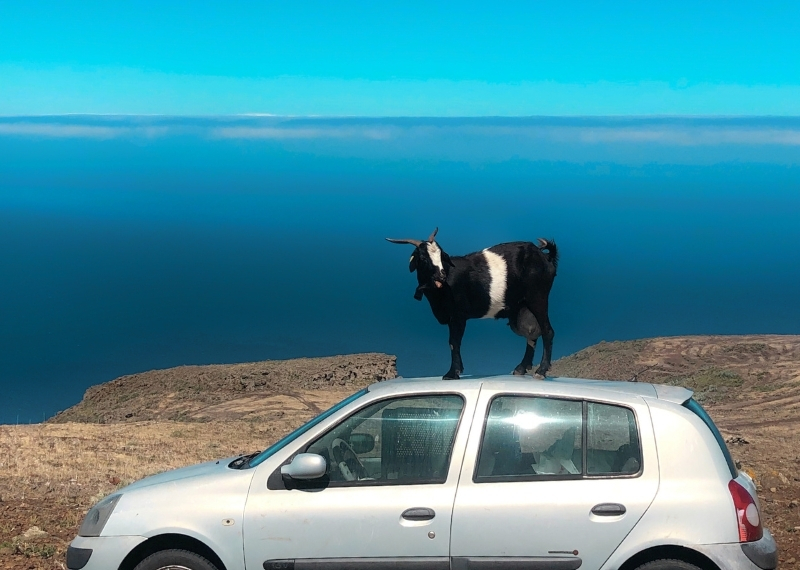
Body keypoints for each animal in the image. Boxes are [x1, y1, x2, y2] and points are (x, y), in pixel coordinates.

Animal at [387, 228, 558, 379]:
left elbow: (454, 342)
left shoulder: (458, 315)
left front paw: (452, 373)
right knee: (532, 334)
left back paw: (541, 371)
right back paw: (521, 368)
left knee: (547, 331)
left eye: (441, 255)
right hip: (522, 307)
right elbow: (453, 342)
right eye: (423, 258)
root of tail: (545, 257)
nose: (441, 275)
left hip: (538, 298)